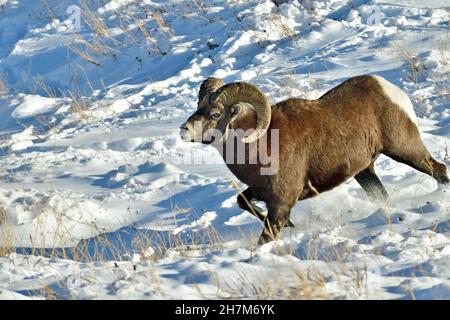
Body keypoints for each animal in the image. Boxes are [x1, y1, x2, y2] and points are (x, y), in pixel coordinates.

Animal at [180, 75, 450, 245]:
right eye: (198, 107)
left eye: (215, 114)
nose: (184, 130)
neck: (261, 144)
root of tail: (391, 91)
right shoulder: (261, 193)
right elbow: (242, 201)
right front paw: (292, 226)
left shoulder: (281, 204)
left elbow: (264, 239)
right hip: (365, 171)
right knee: (382, 196)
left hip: (404, 149)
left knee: (438, 169)